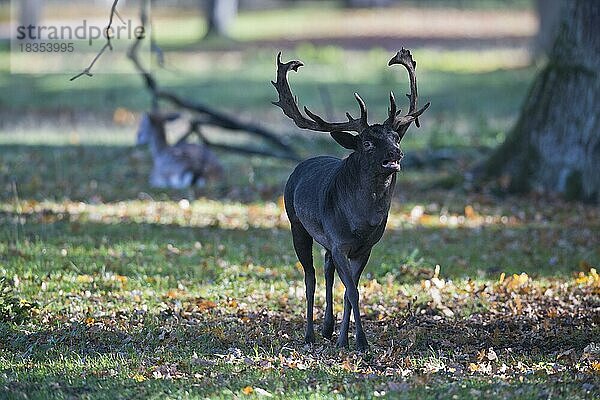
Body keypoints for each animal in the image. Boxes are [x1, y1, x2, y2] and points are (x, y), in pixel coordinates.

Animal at [274, 49, 428, 350]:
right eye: (367, 143)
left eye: (396, 137)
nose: (396, 154)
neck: (361, 223)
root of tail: (300, 166)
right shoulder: (339, 242)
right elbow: (352, 291)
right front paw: (362, 342)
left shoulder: (364, 247)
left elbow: (349, 291)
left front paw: (345, 339)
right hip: (296, 223)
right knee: (309, 277)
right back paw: (310, 334)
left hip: (326, 242)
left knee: (326, 268)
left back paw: (327, 328)